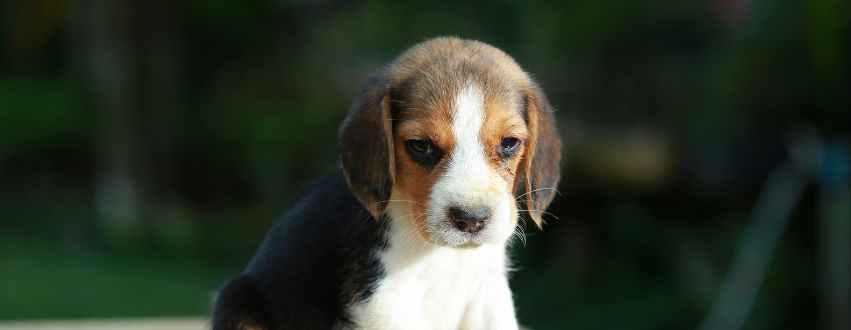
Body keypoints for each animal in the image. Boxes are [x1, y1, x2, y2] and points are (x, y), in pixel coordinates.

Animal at [213, 36, 564, 330]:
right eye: (420, 146)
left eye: (509, 143)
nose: (471, 219)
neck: (446, 255)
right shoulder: (384, 300)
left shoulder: (487, 293)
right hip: (236, 298)